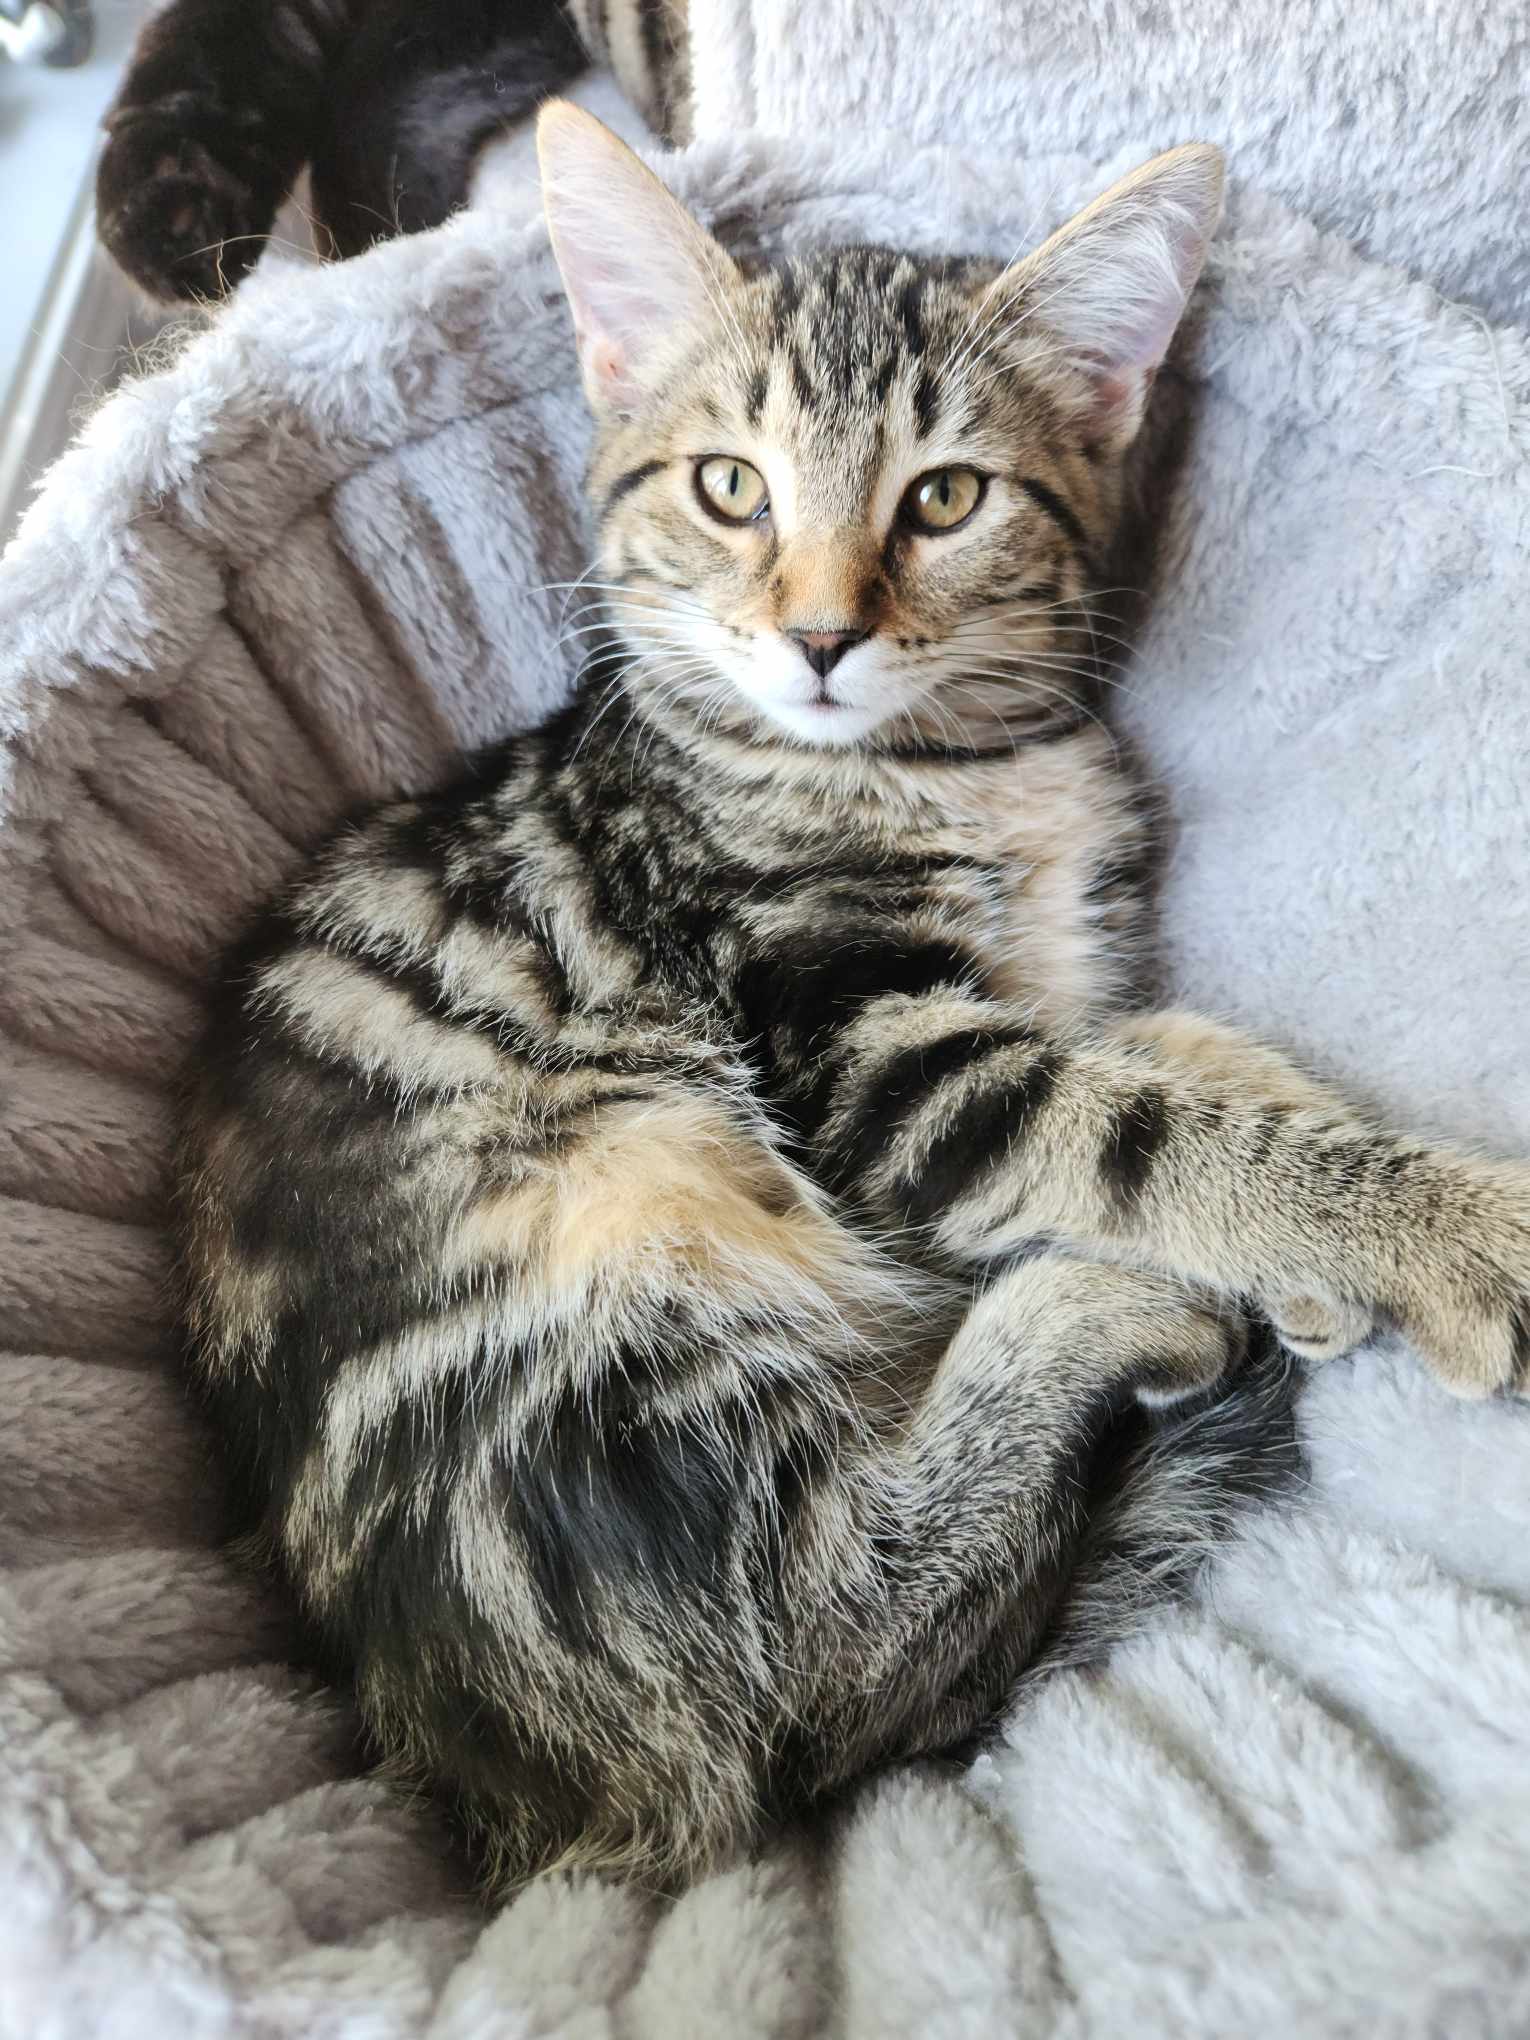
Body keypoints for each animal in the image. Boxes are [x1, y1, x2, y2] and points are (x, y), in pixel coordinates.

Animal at [175, 103, 1530, 1895]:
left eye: (944, 497)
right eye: (728, 487)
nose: (819, 634)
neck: (939, 765)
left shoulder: (1031, 973)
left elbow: (1157, 1046)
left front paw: (1295, 1138)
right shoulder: (861, 1045)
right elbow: (1130, 1130)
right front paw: (1434, 1228)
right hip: (610, 1286)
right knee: (828, 1658)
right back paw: (1094, 1313)